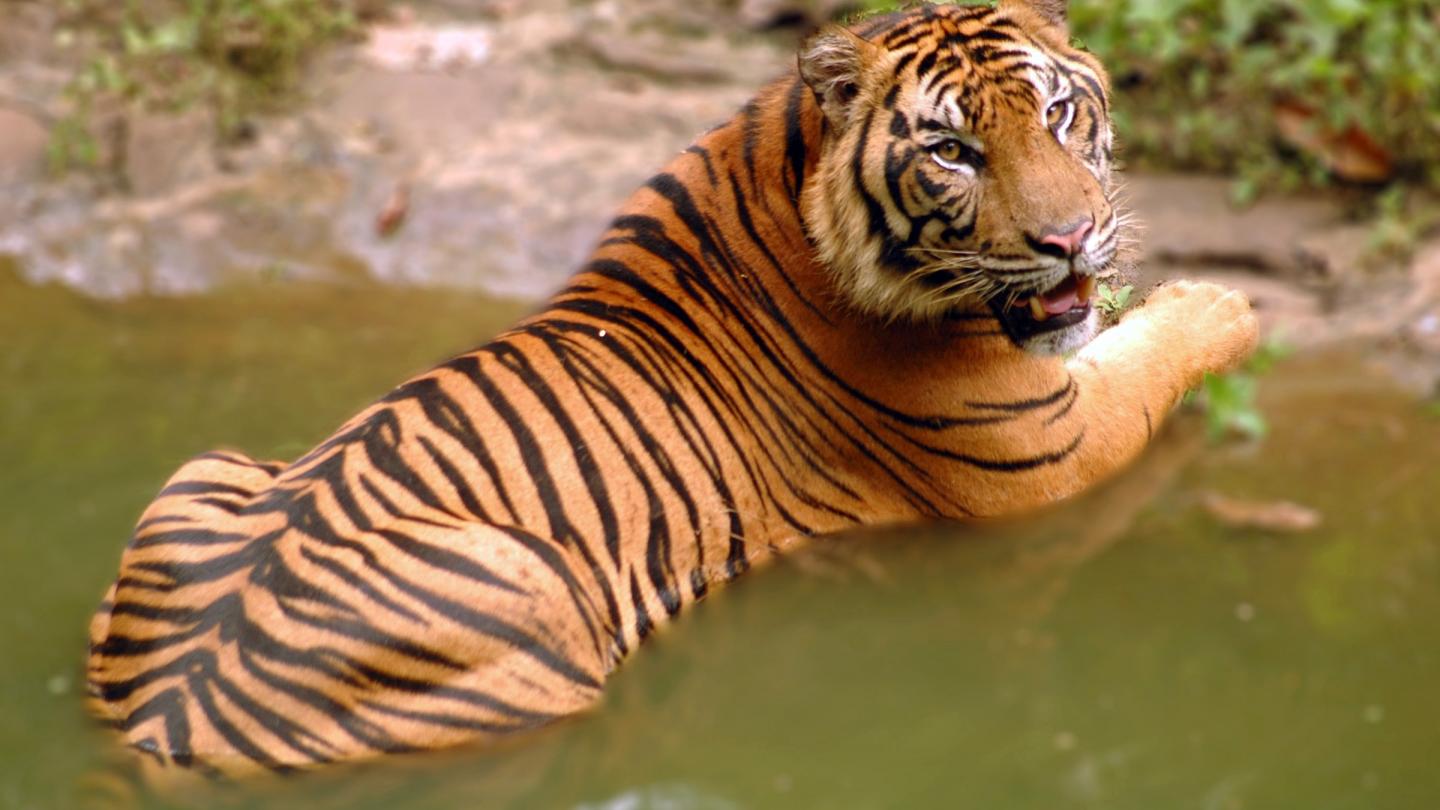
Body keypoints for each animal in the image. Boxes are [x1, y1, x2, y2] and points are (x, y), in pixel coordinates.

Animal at [86, 0, 1259, 777]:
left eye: (1059, 117)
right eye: (955, 152)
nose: (1070, 238)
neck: (785, 161)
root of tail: (166, 721)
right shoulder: (1044, 454)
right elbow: (1149, 361)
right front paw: (1226, 303)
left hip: (204, 468)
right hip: (536, 594)